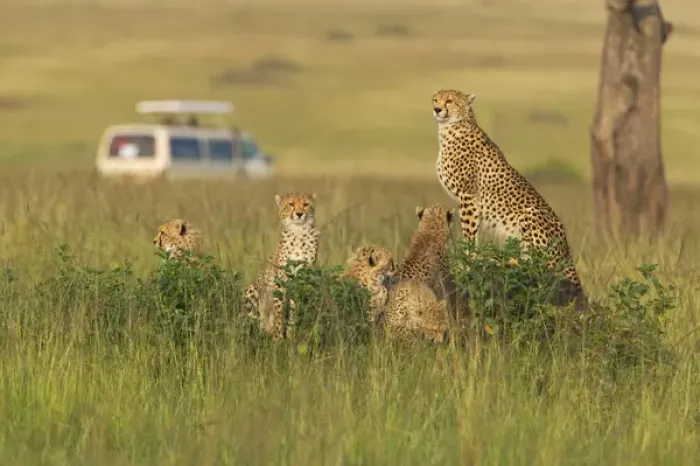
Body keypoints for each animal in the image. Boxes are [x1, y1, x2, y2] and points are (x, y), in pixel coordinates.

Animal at [243, 192, 320, 341]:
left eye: (306, 204)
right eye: (291, 204)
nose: (299, 214)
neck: (298, 232)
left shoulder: (299, 280)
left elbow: (293, 310)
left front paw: (290, 336)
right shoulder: (280, 280)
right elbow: (278, 310)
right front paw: (278, 338)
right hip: (252, 290)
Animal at [432, 89, 587, 311]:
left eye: (450, 100)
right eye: (435, 99)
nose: (437, 109)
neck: (451, 127)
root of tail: (565, 243)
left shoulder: (468, 197)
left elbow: (469, 236)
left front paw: (467, 264)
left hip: (531, 215)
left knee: (542, 269)